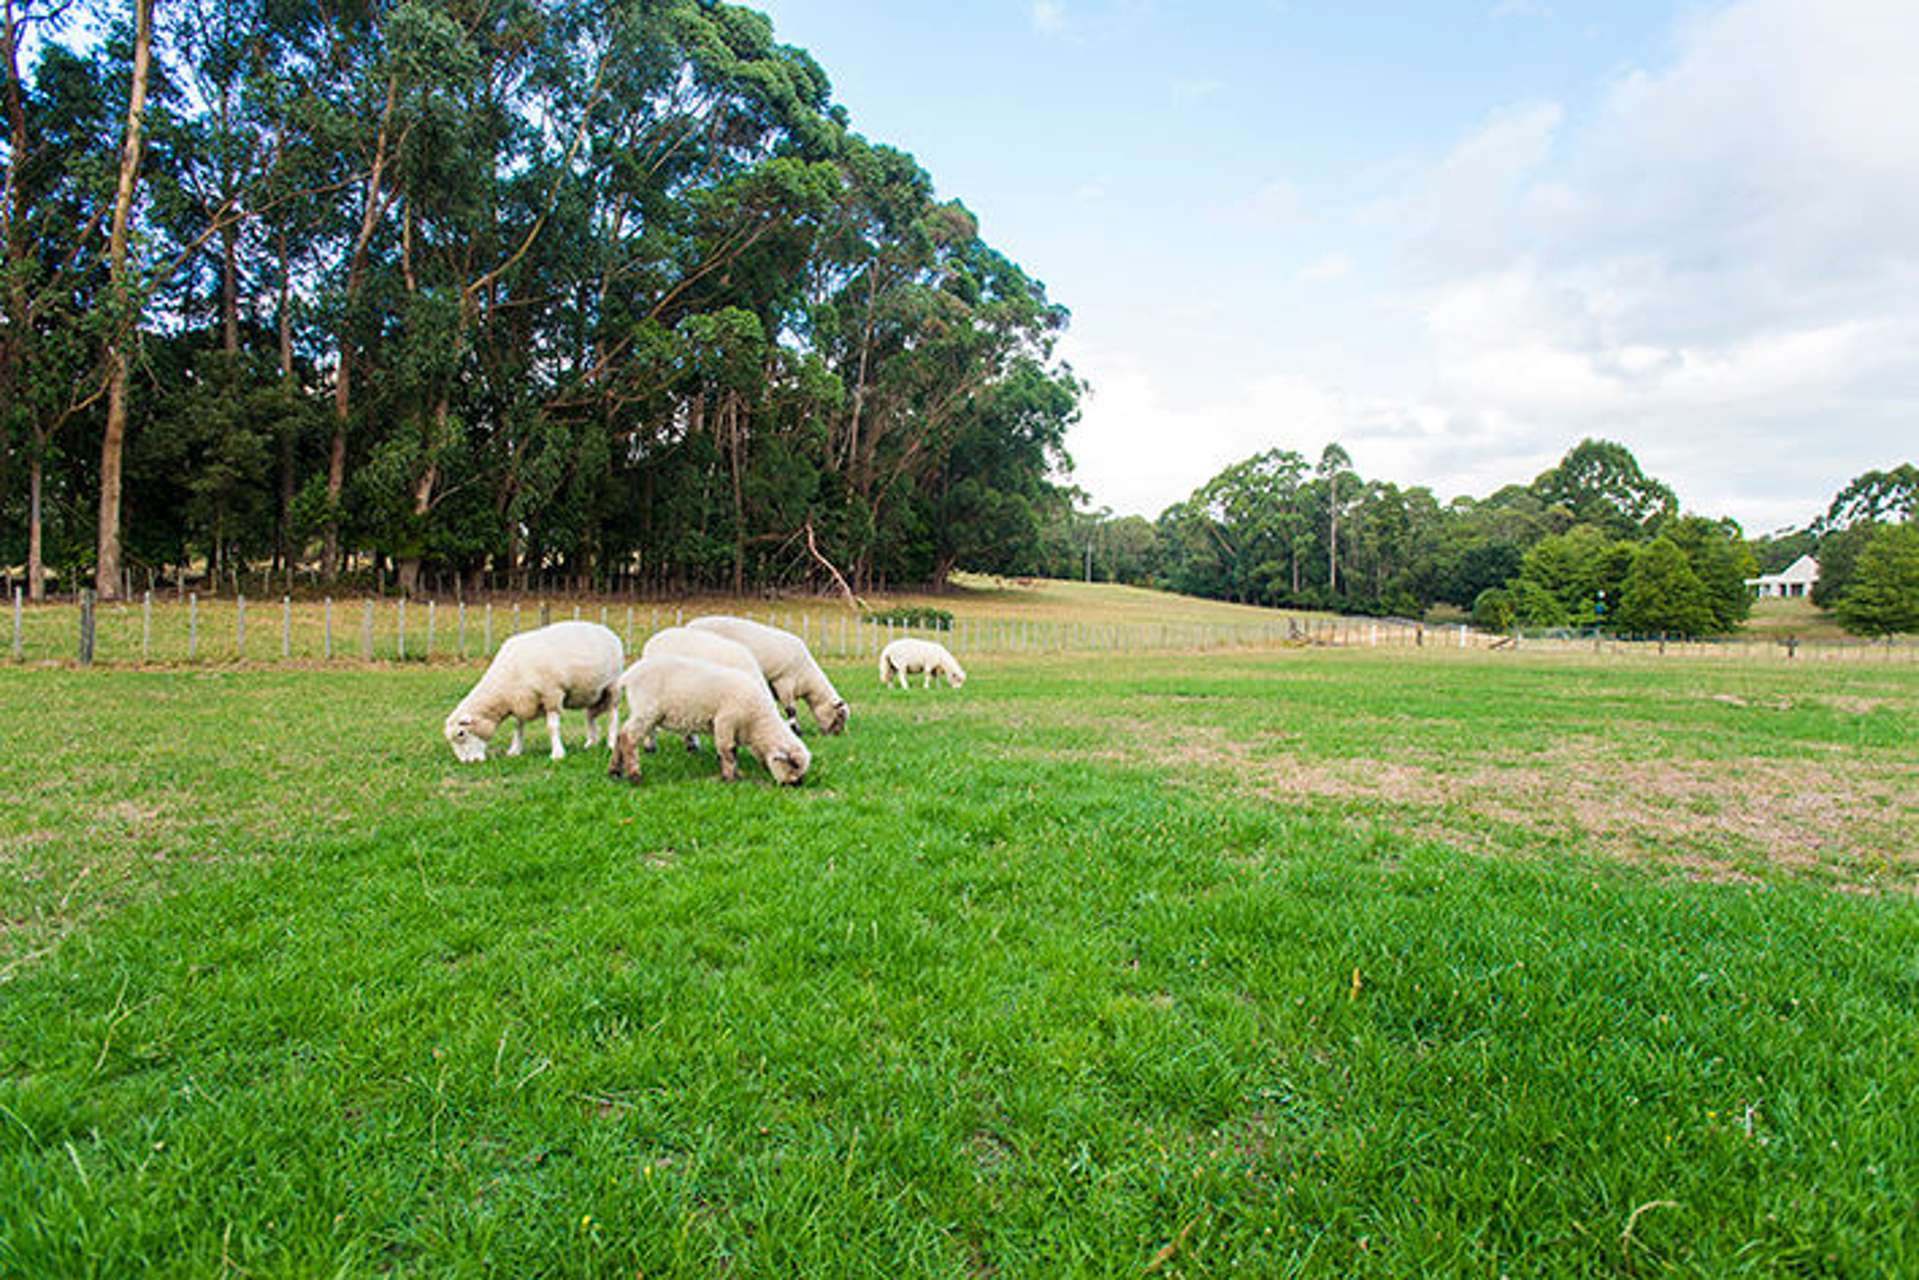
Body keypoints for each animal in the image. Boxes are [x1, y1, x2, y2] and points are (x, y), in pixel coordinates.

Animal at [441, 621, 621, 759]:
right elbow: (517, 726)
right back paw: (591, 742)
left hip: (612, 686)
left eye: (461, 733)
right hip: (591, 693)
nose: (467, 762)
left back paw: (611, 743)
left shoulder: (552, 695)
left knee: (612, 715)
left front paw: (557, 754)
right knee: (590, 716)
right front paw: (515, 750)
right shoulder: (520, 700)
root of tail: (606, 630)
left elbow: (552, 726)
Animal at [614, 656, 809, 786]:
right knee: (628, 738)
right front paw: (730, 779)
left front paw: (734, 774)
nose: (797, 784)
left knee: (620, 734)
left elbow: (731, 751)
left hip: (641, 711)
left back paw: (614, 772)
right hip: (646, 710)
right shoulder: (725, 721)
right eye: (794, 764)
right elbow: (728, 751)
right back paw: (634, 776)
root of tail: (629, 675)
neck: (757, 723)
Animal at [683, 614, 848, 736]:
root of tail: (689, 626)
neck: (807, 679)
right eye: (839, 715)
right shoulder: (784, 682)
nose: (836, 735)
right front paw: (797, 731)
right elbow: (791, 710)